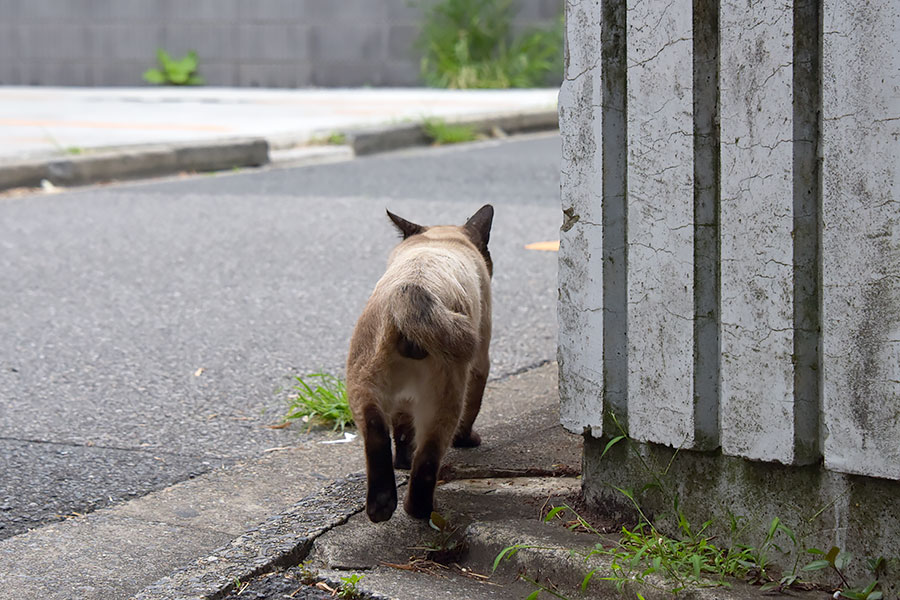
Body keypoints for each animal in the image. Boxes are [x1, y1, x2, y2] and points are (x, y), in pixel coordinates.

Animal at [348, 205, 496, 520]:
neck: (438, 242)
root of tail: (414, 286)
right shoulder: (480, 363)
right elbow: (472, 408)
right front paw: (468, 441)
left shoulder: (403, 400)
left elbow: (403, 432)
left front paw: (402, 463)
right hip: (445, 399)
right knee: (430, 454)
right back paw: (420, 512)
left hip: (363, 384)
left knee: (377, 430)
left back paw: (381, 508)